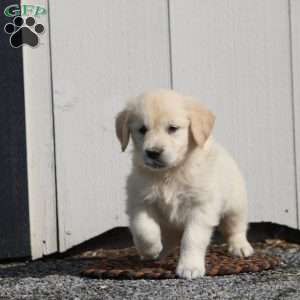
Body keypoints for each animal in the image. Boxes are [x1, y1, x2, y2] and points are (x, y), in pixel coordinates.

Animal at [115, 88, 253, 278]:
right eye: (142, 129)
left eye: (173, 128)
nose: (153, 152)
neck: (170, 173)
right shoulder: (139, 200)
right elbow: (143, 228)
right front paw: (150, 250)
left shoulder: (200, 207)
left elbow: (192, 239)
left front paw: (190, 267)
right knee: (169, 238)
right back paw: (161, 253)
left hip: (235, 204)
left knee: (236, 227)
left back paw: (240, 247)